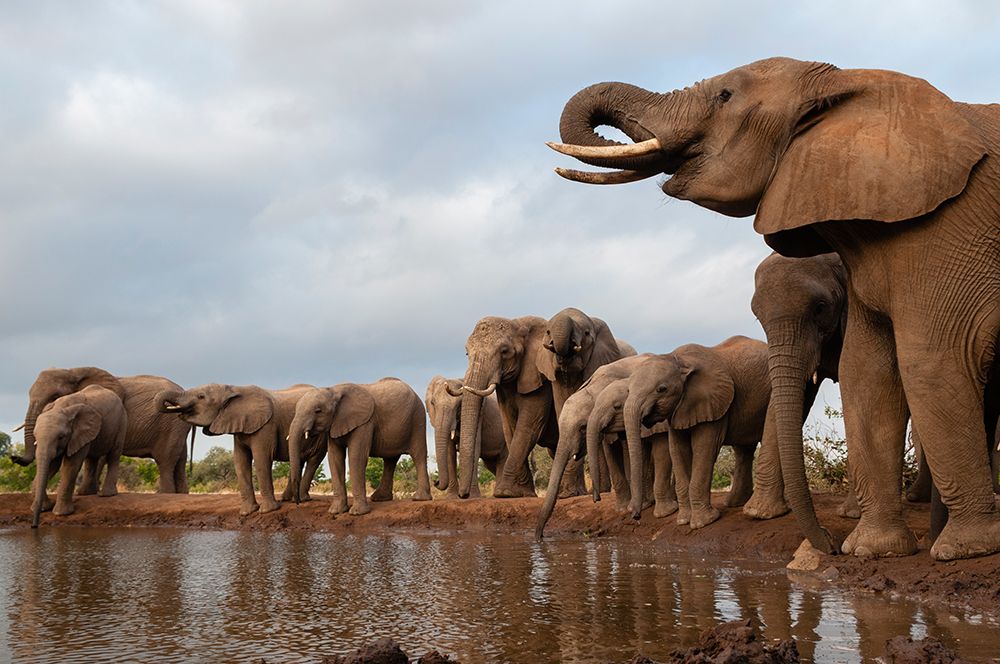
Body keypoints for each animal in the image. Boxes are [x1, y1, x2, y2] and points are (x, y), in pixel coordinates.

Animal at [13, 367, 193, 493]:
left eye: (55, 396)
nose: (14, 457)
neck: (73, 371)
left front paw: (84, 492)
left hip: (170, 424)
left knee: (165, 461)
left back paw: (165, 494)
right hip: (178, 427)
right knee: (180, 461)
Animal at [30, 385, 126, 527]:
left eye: (61, 437)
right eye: (35, 436)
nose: (34, 526)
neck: (61, 407)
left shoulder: (78, 433)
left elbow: (70, 466)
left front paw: (61, 513)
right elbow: (53, 464)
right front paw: (44, 508)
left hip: (121, 423)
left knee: (114, 455)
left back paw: (106, 495)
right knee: (92, 459)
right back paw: (85, 494)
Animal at [157, 383, 321, 515]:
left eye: (201, 396)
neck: (233, 389)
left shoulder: (266, 426)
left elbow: (262, 459)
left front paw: (267, 511)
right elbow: (240, 462)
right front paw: (247, 512)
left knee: (313, 460)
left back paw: (300, 499)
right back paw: (289, 499)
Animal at [287, 378, 431, 516]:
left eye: (318, 411)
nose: (298, 502)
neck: (334, 390)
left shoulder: (365, 423)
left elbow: (356, 456)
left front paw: (357, 513)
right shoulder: (335, 424)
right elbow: (334, 458)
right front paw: (336, 511)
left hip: (418, 419)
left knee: (418, 455)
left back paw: (420, 498)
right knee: (390, 460)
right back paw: (380, 499)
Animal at [622, 337, 782, 528]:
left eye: (662, 389)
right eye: (628, 390)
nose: (636, 516)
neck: (677, 359)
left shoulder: (712, 403)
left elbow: (704, 447)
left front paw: (703, 522)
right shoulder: (679, 409)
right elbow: (677, 449)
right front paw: (683, 520)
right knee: (743, 449)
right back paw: (734, 503)